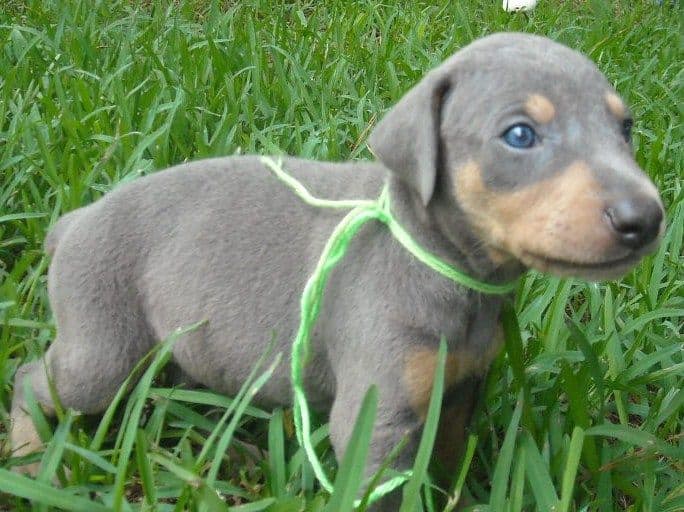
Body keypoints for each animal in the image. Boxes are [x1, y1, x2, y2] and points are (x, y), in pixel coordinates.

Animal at [9, 33, 664, 508]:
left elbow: (447, 463)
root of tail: (74, 222)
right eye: (520, 134)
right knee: (33, 380)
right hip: (103, 344)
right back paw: (27, 459)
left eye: (625, 128)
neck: (437, 262)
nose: (647, 218)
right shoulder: (377, 417)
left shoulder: (460, 393)